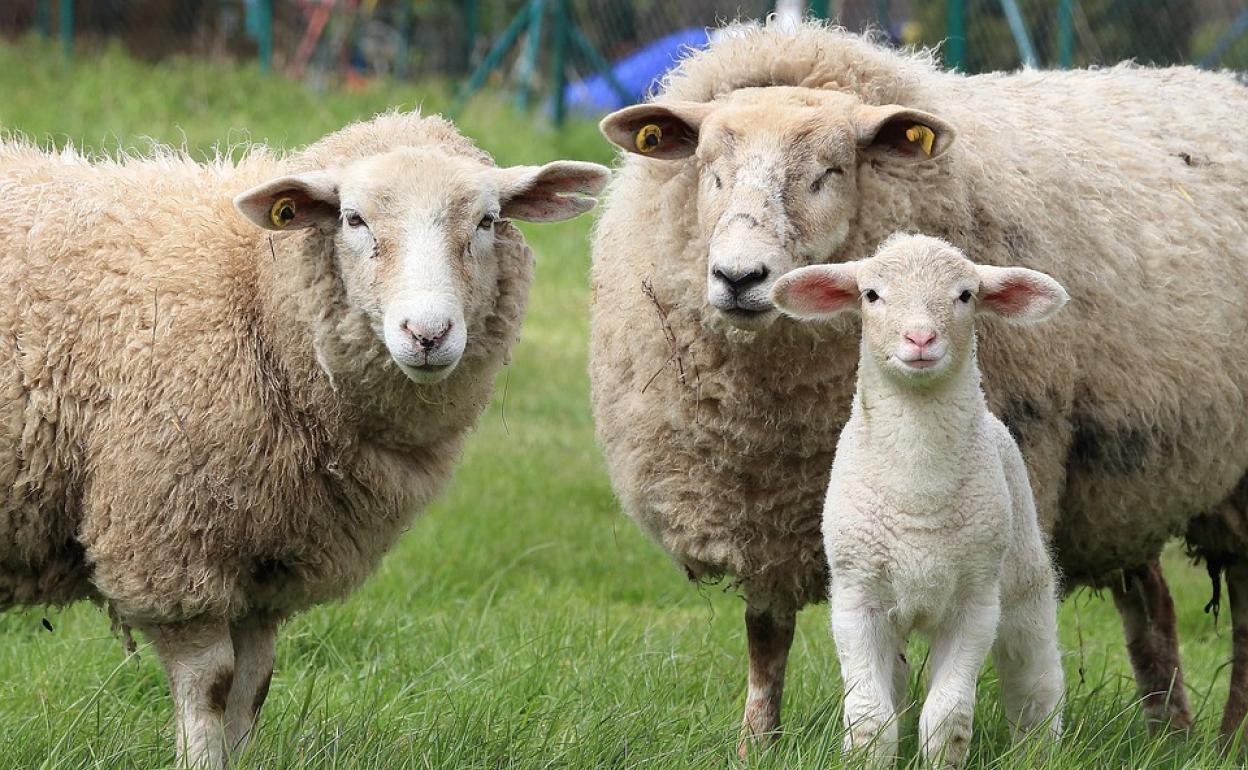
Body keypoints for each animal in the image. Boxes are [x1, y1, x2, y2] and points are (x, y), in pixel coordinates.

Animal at [0, 109, 609, 768]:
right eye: (353, 219)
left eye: (487, 221)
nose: (428, 334)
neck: (254, 291)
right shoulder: (170, 543)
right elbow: (210, 685)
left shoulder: (268, 564)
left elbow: (253, 685)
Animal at [773, 232, 1068, 763]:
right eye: (871, 295)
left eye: (965, 295)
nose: (921, 340)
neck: (918, 493)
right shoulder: (856, 601)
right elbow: (871, 722)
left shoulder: (975, 603)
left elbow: (947, 720)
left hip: (1022, 579)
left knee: (1034, 677)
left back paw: (1039, 752)